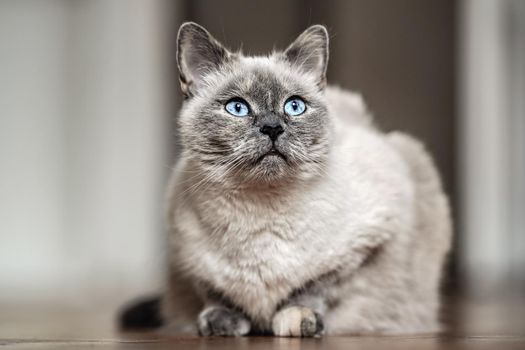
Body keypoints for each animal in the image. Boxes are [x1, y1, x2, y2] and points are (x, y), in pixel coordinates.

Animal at [118, 21, 450, 336]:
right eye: (237, 108)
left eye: (294, 106)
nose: (272, 127)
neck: (260, 212)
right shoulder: (187, 259)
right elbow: (215, 292)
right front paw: (221, 322)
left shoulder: (363, 246)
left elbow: (312, 289)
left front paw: (297, 320)